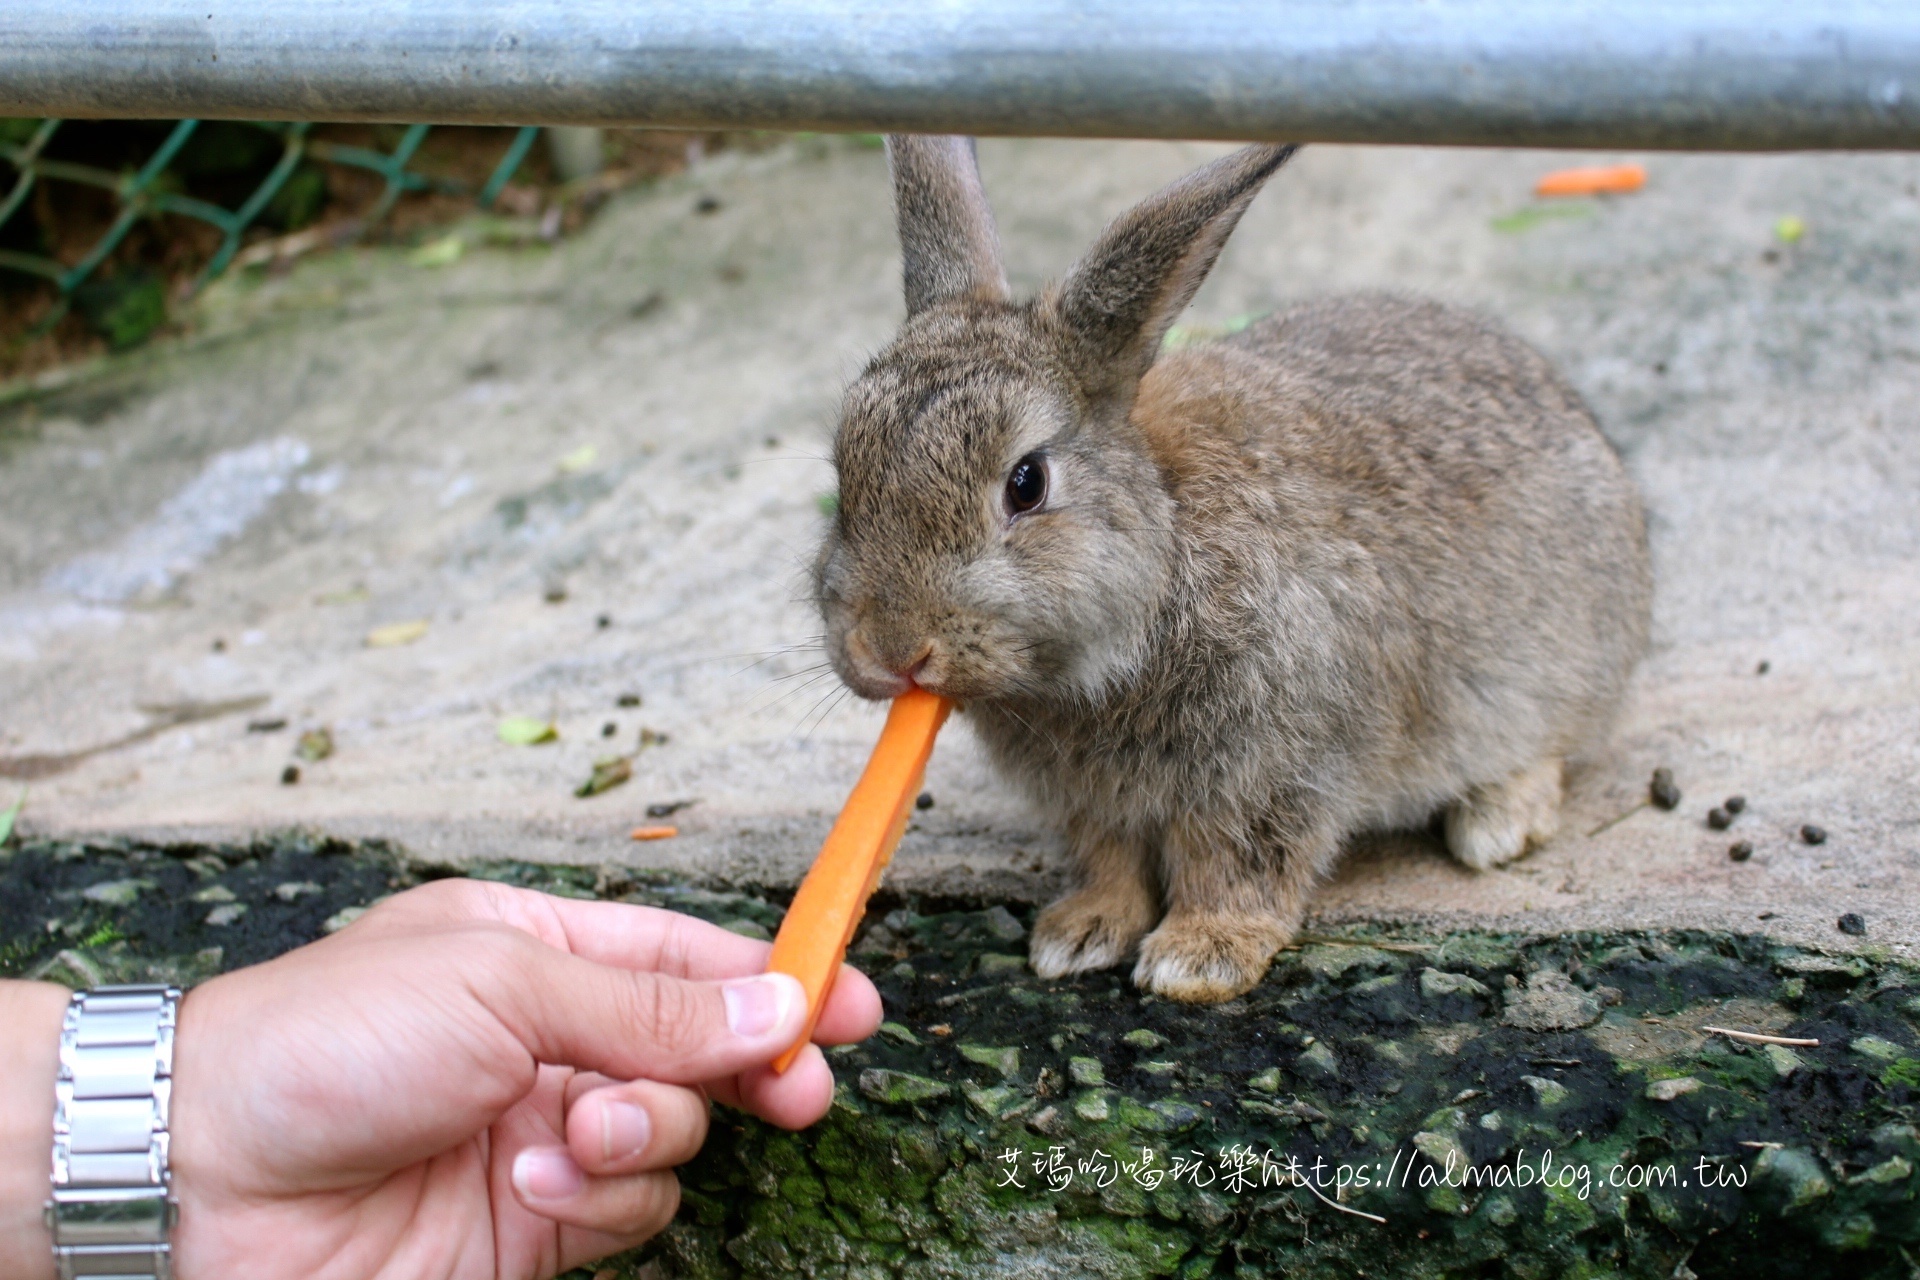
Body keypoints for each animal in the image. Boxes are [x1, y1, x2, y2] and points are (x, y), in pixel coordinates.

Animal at [810, 138, 1651, 997]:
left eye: (1026, 484)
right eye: (844, 474)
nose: (888, 652)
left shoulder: (1272, 770)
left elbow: (1235, 862)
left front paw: (1198, 957)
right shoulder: (1096, 807)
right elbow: (1111, 863)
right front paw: (1079, 936)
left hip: (1548, 674)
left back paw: (1494, 826)